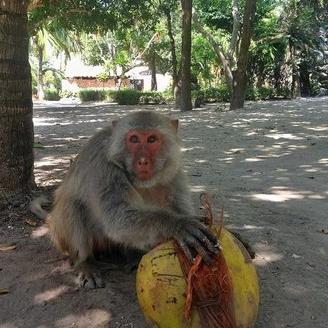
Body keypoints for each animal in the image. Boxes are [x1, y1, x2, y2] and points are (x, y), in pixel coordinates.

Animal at [32, 111, 219, 288]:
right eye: (134, 139)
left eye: (152, 139)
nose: (143, 161)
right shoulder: (105, 166)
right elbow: (116, 218)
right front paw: (178, 224)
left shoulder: (173, 169)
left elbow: (179, 208)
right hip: (63, 237)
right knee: (73, 206)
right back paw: (85, 262)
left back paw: (133, 257)